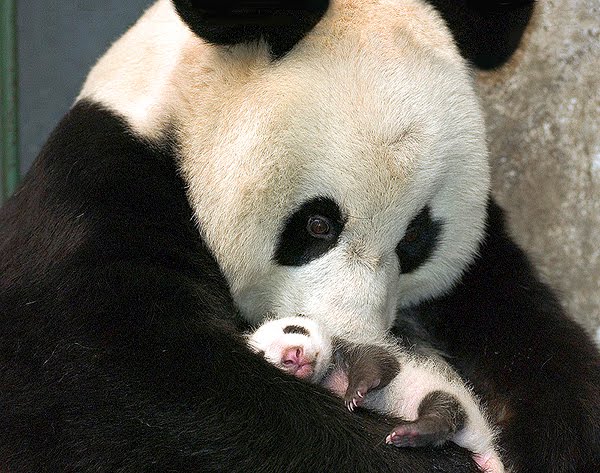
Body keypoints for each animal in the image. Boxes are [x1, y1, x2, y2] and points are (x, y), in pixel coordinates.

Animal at [248, 316, 506, 473]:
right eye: (261, 355)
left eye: (293, 329)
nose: (292, 355)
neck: (328, 376)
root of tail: (482, 445)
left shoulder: (348, 348)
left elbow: (378, 363)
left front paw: (356, 392)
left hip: (448, 395)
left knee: (442, 412)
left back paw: (409, 432)